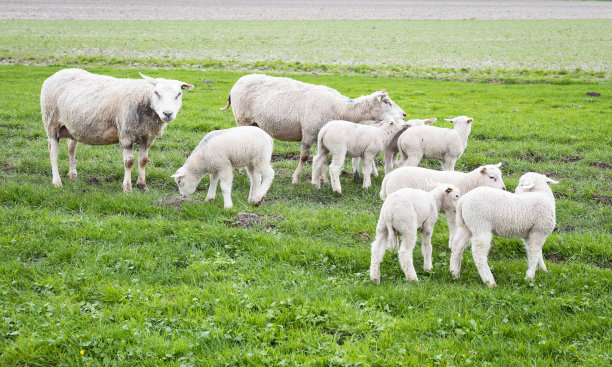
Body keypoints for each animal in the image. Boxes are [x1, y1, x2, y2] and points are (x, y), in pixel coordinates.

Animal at [40, 68, 194, 193]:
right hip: (51, 122)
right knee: (53, 152)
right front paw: (127, 188)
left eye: (179, 94)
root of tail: (56, 74)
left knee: (71, 148)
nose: (168, 114)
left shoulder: (147, 137)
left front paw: (142, 186)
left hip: (72, 127)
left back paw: (72, 175)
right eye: (156, 93)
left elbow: (143, 161)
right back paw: (57, 182)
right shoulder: (126, 134)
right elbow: (129, 162)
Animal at [220, 74, 406, 184]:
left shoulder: (320, 134)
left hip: (253, 123)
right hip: (243, 119)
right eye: (387, 102)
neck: (341, 109)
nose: (404, 114)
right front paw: (296, 178)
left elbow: (323, 159)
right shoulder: (309, 132)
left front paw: (323, 179)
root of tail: (237, 82)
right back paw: (239, 170)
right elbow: (304, 157)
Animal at [378, 164, 506, 250]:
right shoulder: (452, 210)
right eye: (491, 177)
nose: (504, 189)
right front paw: (453, 244)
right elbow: (454, 227)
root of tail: (389, 176)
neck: (468, 182)